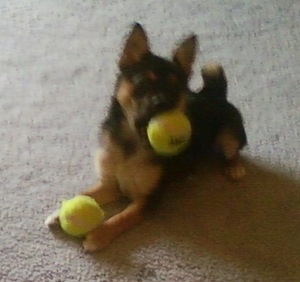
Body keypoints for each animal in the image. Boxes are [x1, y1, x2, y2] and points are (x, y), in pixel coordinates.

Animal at [44, 22, 246, 251]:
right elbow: (84, 193)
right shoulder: (111, 185)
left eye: (175, 89)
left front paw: (99, 235)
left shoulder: (147, 199)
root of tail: (214, 94)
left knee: (233, 150)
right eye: (143, 83)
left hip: (229, 136)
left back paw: (234, 167)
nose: (162, 103)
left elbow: (122, 216)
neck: (133, 142)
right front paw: (59, 213)